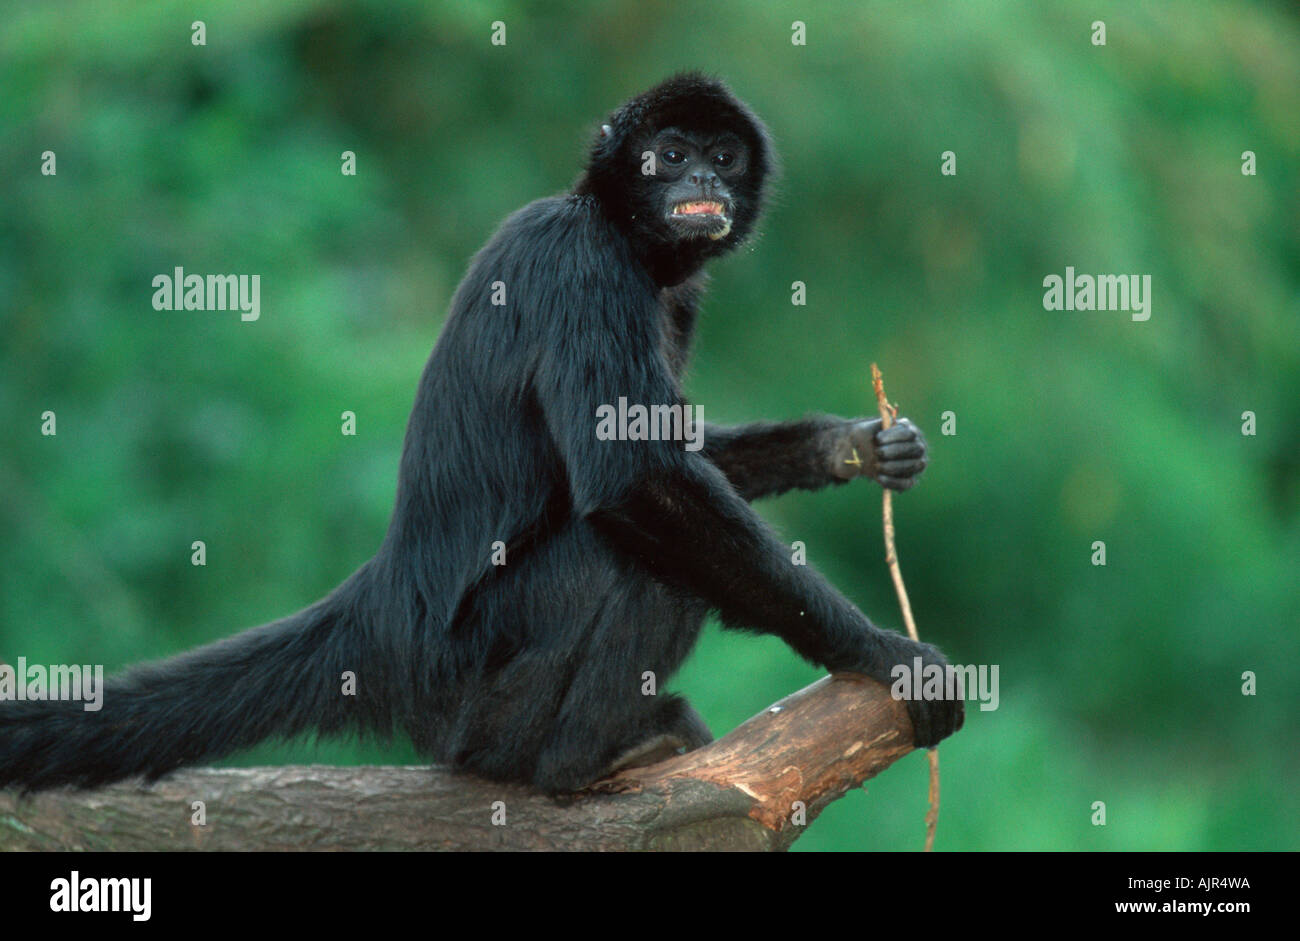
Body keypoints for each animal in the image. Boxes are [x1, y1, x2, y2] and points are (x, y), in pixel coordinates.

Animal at [0, 73, 962, 794]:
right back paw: (574, 758)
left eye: (723, 155)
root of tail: (385, 599)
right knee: (629, 555)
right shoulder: (583, 265)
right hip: (470, 682)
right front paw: (885, 653)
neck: (620, 231)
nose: (703, 184)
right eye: (670, 154)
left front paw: (850, 445)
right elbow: (638, 477)